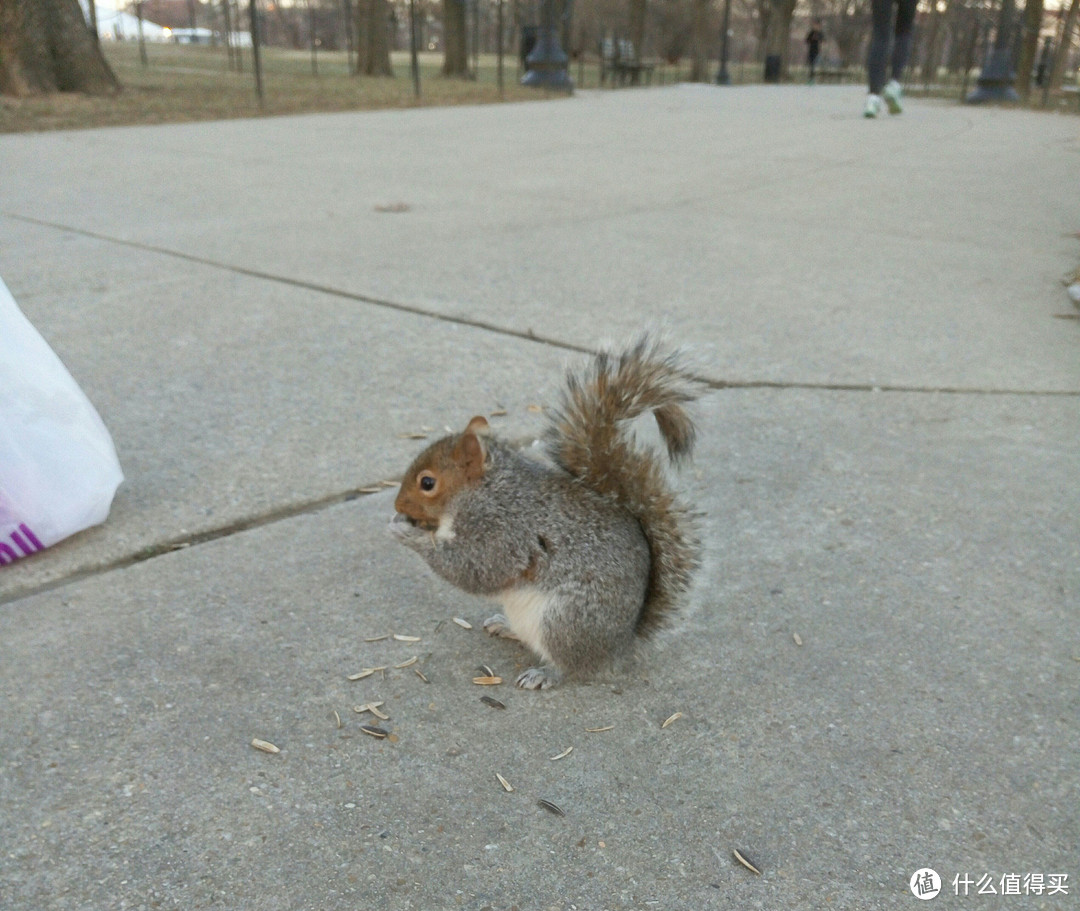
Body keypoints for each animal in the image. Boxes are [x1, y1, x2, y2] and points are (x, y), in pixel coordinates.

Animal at [393, 336, 704, 690]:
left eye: (427, 483)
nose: (397, 506)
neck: (487, 490)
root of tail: (618, 646)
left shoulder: (503, 531)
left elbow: (475, 569)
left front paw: (406, 533)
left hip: (566, 619)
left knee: (571, 665)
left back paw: (545, 673)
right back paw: (505, 626)